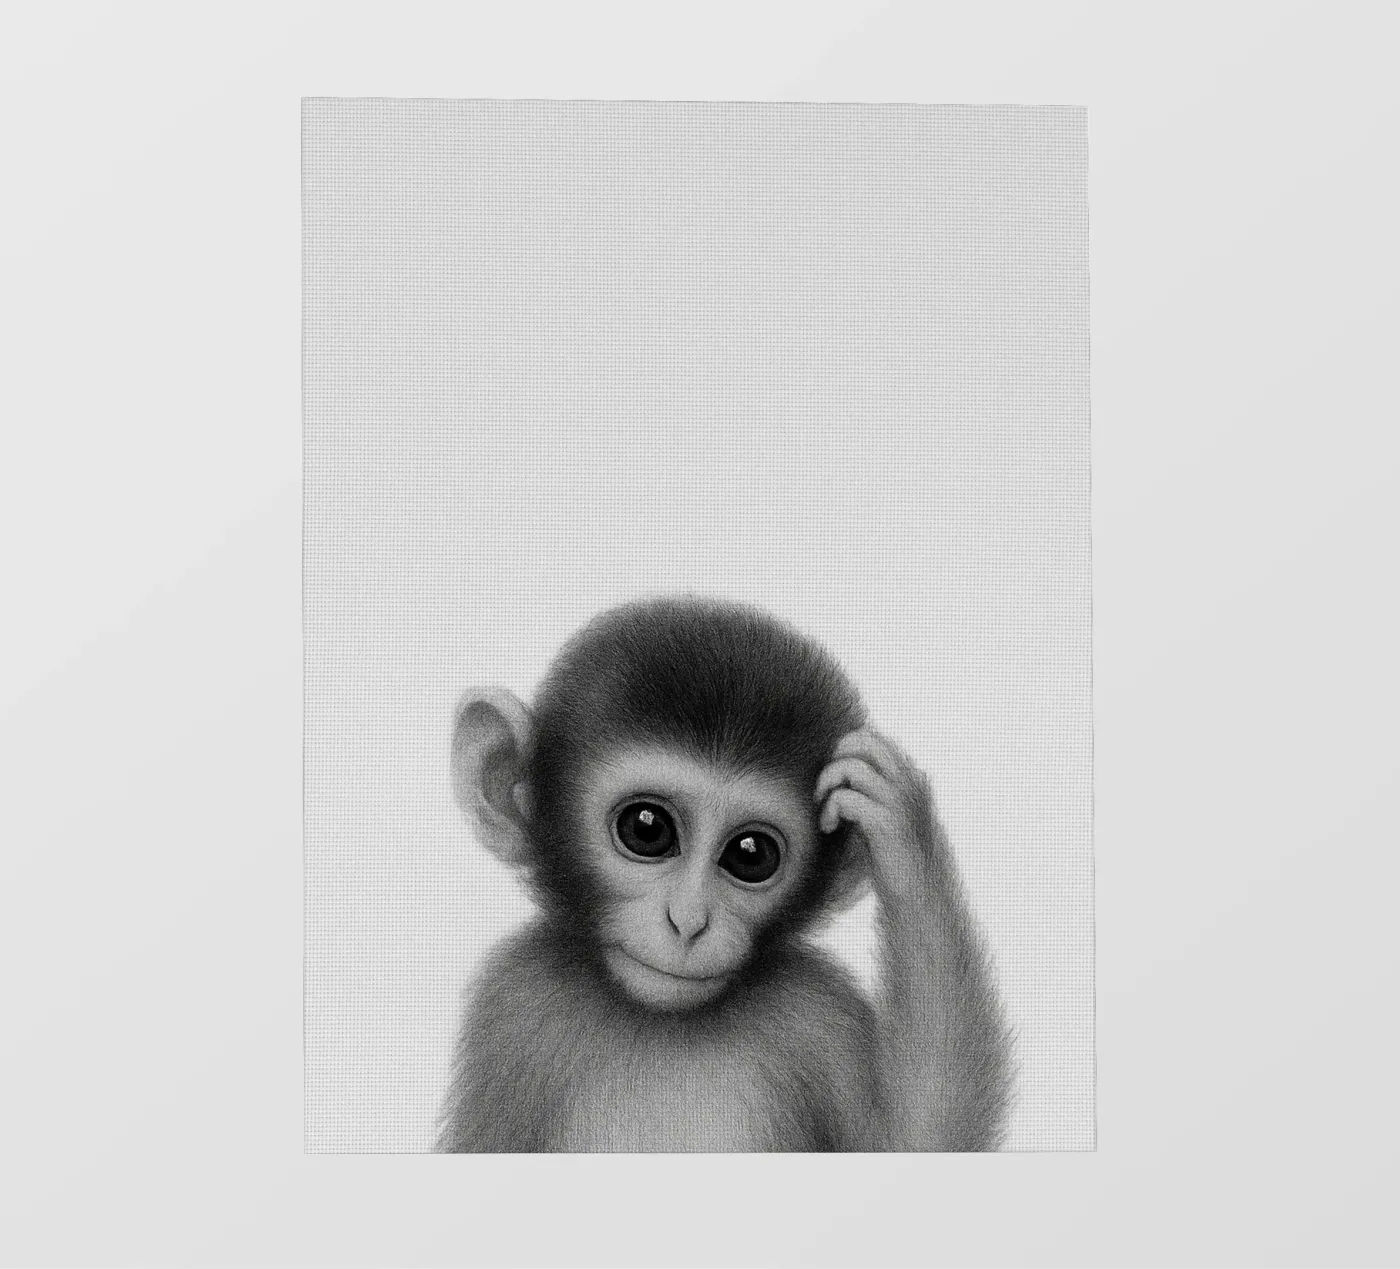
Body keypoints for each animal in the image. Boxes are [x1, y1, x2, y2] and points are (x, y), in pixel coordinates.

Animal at [435, 596, 1011, 1152]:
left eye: (750, 855)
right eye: (646, 829)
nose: (688, 921)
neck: (664, 1023)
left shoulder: (818, 1009)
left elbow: (916, 1138)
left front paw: (900, 827)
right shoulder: (513, 1004)